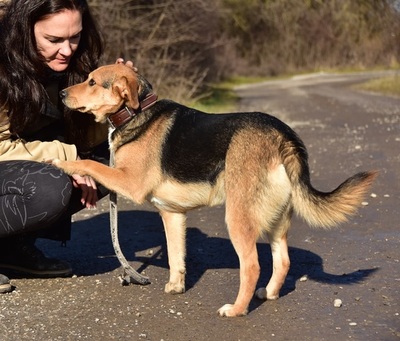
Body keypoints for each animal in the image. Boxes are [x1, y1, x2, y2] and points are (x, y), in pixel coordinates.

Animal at [54, 63, 376, 316]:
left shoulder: (129, 183)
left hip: (238, 217)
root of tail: (281, 134)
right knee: (282, 261)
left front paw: (61, 162)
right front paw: (176, 286)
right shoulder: (172, 215)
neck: (135, 113)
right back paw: (269, 293)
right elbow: (175, 256)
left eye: (92, 81)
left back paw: (236, 309)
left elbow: (90, 164)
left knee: (252, 266)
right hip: (275, 219)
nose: (61, 94)